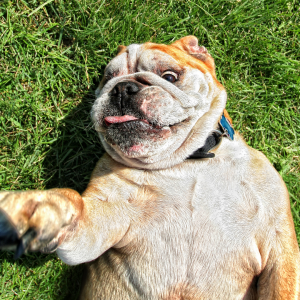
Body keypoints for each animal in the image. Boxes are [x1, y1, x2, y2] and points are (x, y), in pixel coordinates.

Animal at [0, 36, 300, 298]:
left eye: (169, 76)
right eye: (108, 78)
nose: (122, 88)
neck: (189, 162)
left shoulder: (279, 245)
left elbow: (283, 286)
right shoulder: (100, 221)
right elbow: (75, 206)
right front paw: (43, 208)